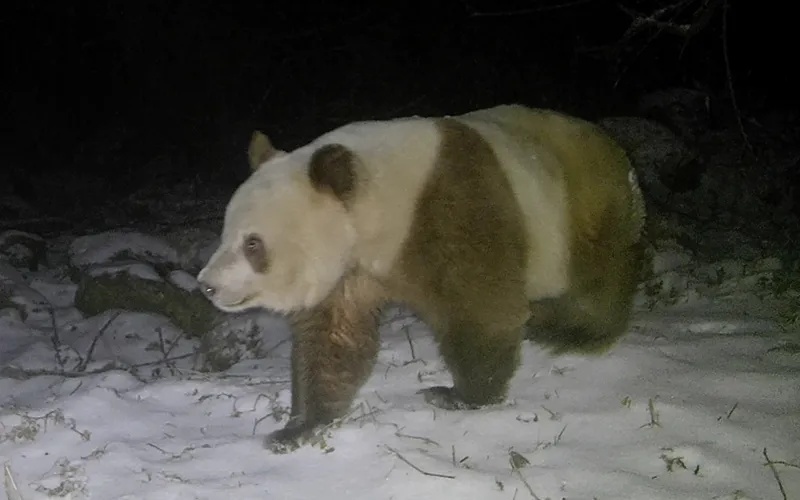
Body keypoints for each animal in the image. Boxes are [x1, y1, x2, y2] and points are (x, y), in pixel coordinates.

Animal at [197, 104, 647, 453]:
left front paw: (462, 396)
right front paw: (298, 428)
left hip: (581, 209)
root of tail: (615, 149)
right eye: (225, 232)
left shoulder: (453, 209)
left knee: (597, 281)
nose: (207, 284)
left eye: (253, 244)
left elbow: (481, 306)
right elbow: (334, 339)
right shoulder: (351, 268)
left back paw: (577, 332)